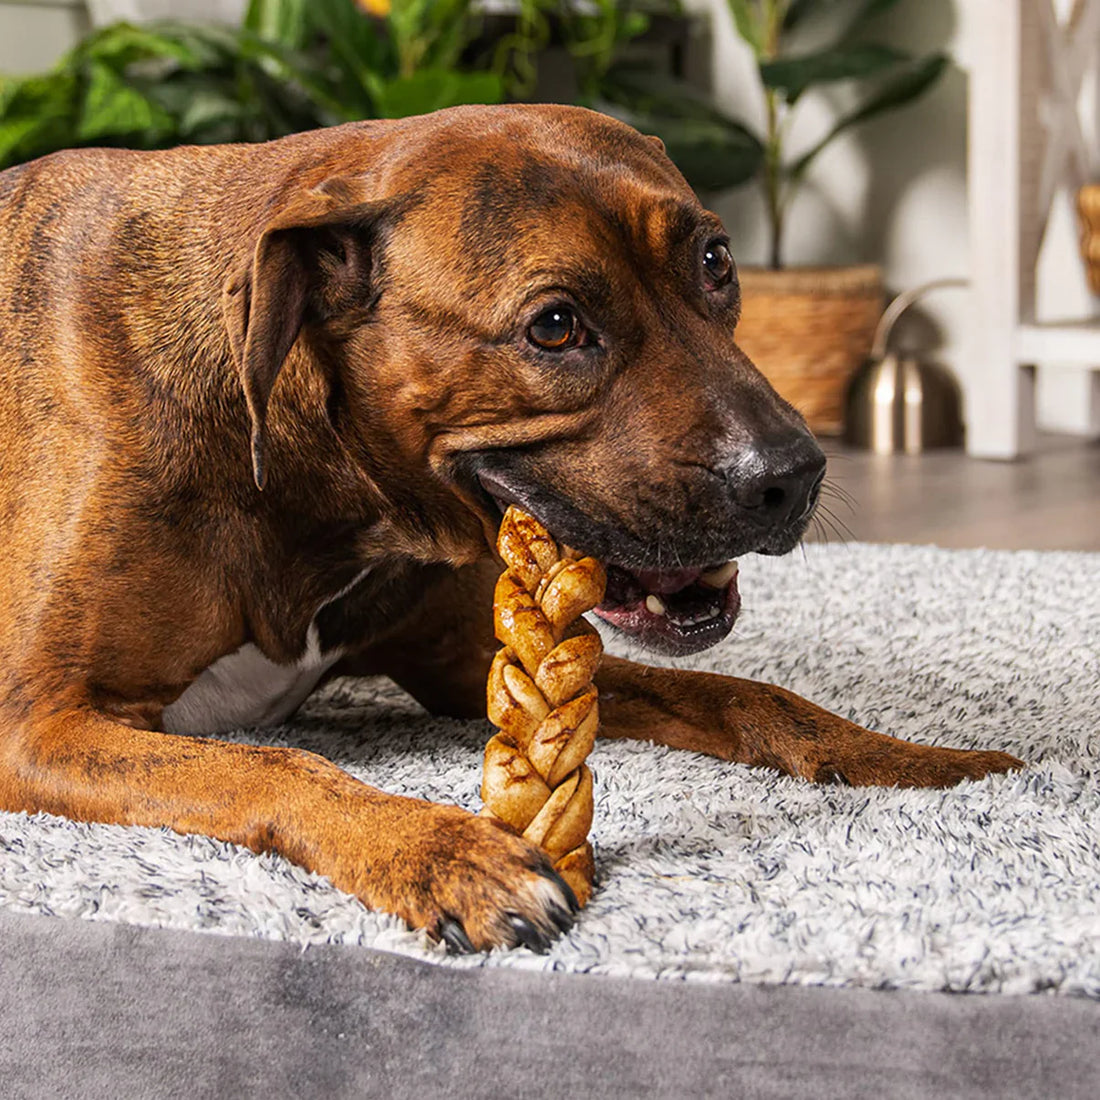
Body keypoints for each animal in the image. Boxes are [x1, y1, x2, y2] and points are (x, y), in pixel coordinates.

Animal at [0, 109, 1016, 954]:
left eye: (717, 262)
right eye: (556, 326)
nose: (793, 475)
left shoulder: (464, 668)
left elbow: (754, 696)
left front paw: (921, 762)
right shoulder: (39, 724)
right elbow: (273, 769)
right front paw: (447, 853)